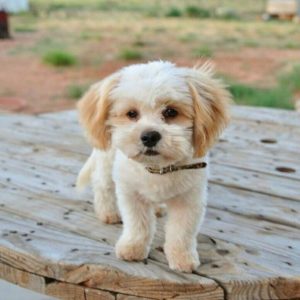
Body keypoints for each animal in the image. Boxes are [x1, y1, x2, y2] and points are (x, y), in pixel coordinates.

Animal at [76, 60, 231, 272]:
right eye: (131, 113)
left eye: (171, 112)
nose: (149, 136)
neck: (158, 169)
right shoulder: (130, 194)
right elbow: (138, 224)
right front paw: (133, 248)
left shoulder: (190, 200)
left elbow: (181, 232)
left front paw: (182, 257)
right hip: (107, 162)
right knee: (102, 185)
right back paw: (108, 212)